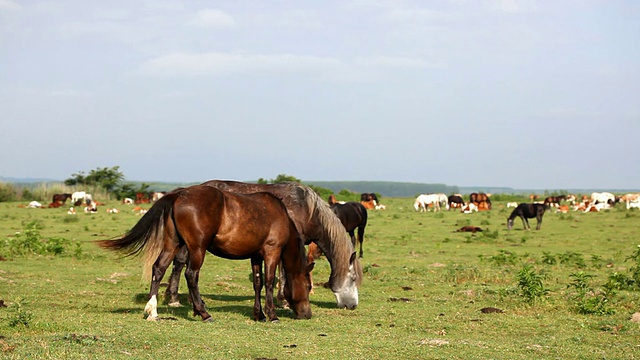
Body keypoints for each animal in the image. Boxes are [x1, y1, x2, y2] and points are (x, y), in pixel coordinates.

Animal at [97, 184, 312, 322]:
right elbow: (268, 281)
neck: (280, 215)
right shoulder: (271, 252)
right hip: (197, 249)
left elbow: (257, 284)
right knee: (191, 275)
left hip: (172, 244)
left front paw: (258, 315)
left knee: (158, 269)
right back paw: (203, 313)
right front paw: (272, 315)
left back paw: (153, 311)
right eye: (308, 287)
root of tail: (179, 194)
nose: (307, 314)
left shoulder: (256, 256)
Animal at [164, 180, 364, 310]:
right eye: (353, 278)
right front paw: (284, 300)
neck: (307, 210)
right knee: (180, 264)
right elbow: (284, 272)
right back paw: (175, 298)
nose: (353, 305)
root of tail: (184, 192)